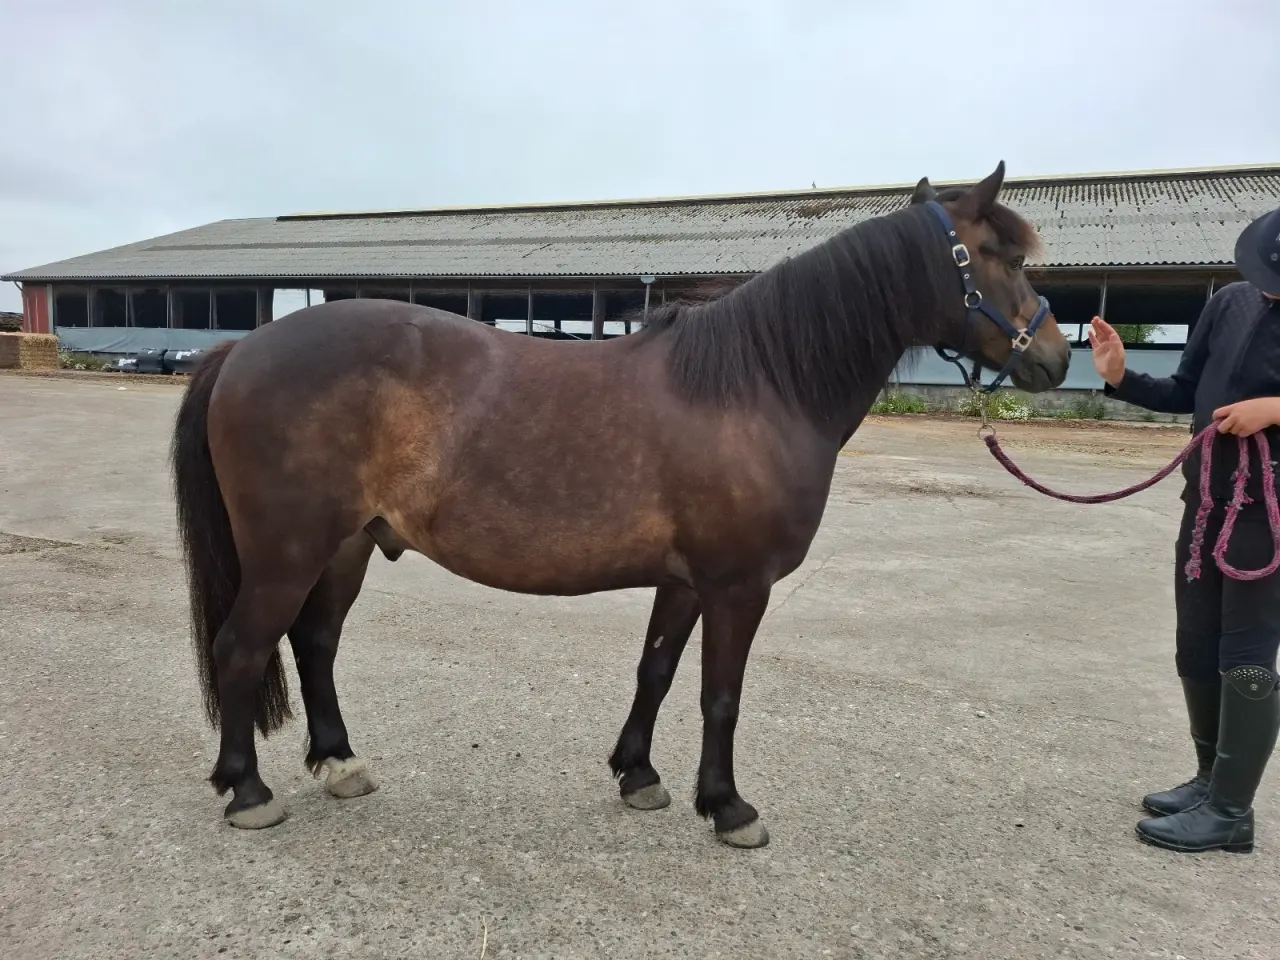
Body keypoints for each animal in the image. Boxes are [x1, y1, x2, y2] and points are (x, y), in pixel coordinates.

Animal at [170, 161, 1070, 848]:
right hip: (287, 554)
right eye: (1006, 257)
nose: (1059, 359)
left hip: (348, 544)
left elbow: (658, 671)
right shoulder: (738, 587)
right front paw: (729, 807)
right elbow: (719, 696)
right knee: (243, 648)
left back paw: (340, 763)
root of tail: (240, 348)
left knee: (314, 643)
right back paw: (248, 793)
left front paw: (639, 774)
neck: (758, 386)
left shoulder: (685, 582)